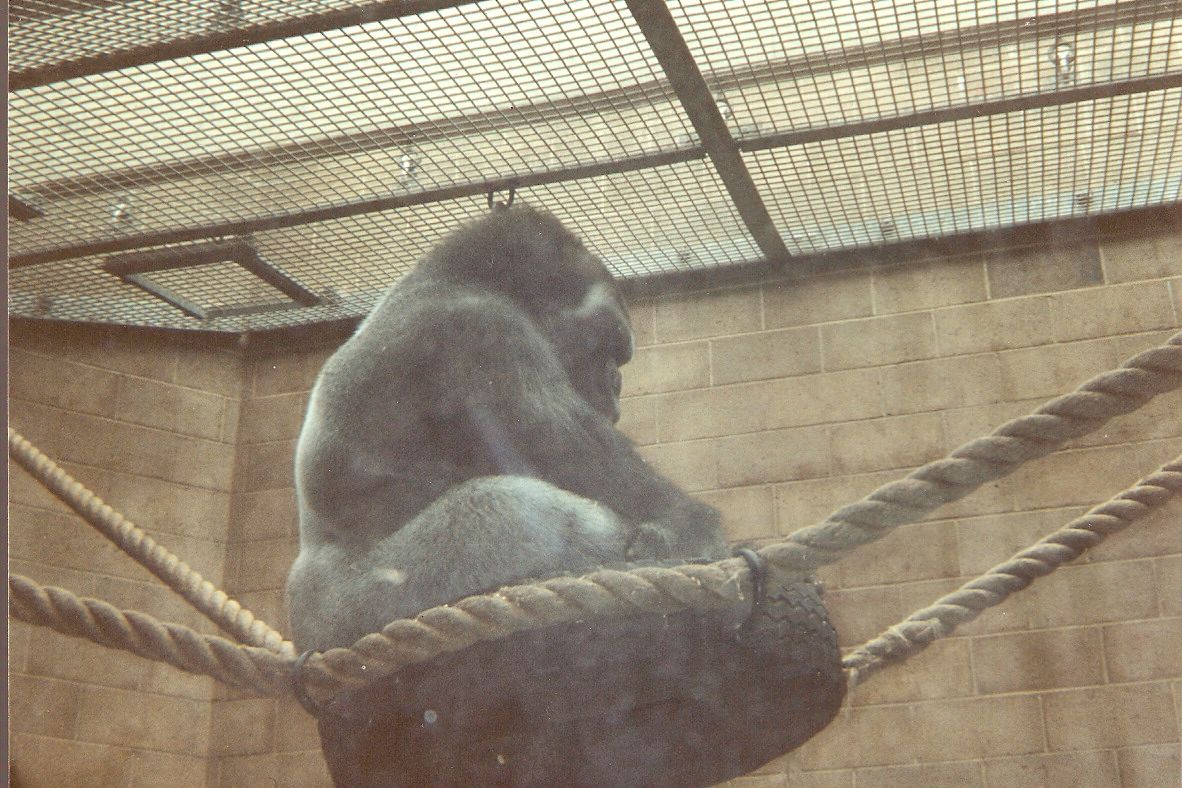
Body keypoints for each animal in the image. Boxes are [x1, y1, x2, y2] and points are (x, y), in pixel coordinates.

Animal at [286, 205, 728, 653]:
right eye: (606, 347)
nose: (616, 386)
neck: (454, 278)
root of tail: (306, 629)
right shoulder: (482, 329)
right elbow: (572, 461)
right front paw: (692, 529)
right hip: (363, 602)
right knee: (502, 507)